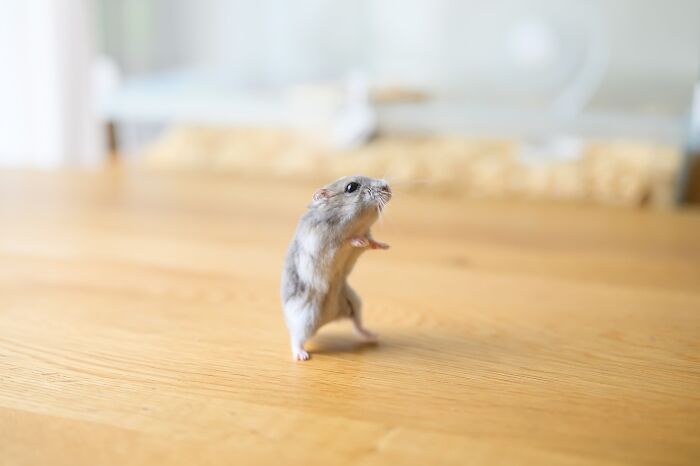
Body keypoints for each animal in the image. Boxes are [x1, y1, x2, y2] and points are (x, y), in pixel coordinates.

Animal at [281, 175, 391, 361]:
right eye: (351, 187)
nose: (387, 187)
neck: (355, 226)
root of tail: (329, 318)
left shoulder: (366, 234)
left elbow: (371, 242)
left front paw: (385, 246)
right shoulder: (322, 243)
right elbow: (344, 242)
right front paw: (359, 240)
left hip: (353, 302)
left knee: (357, 325)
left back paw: (373, 336)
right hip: (305, 317)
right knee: (296, 338)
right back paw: (302, 356)